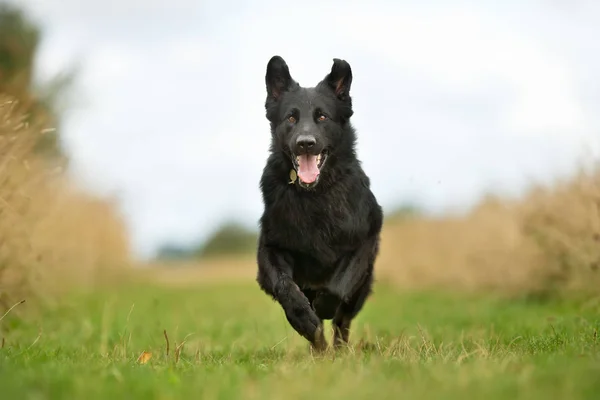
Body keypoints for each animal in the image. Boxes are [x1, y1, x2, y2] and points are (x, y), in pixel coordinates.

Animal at [255, 55, 382, 350]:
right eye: (291, 117)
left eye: (322, 116)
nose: (305, 143)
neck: (315, 195)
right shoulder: (271, 249)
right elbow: (285, 286)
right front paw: (303, 318)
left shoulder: (363, 242)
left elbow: (339, 285)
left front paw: (324, 306)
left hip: (361, 288)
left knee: (342, 322)